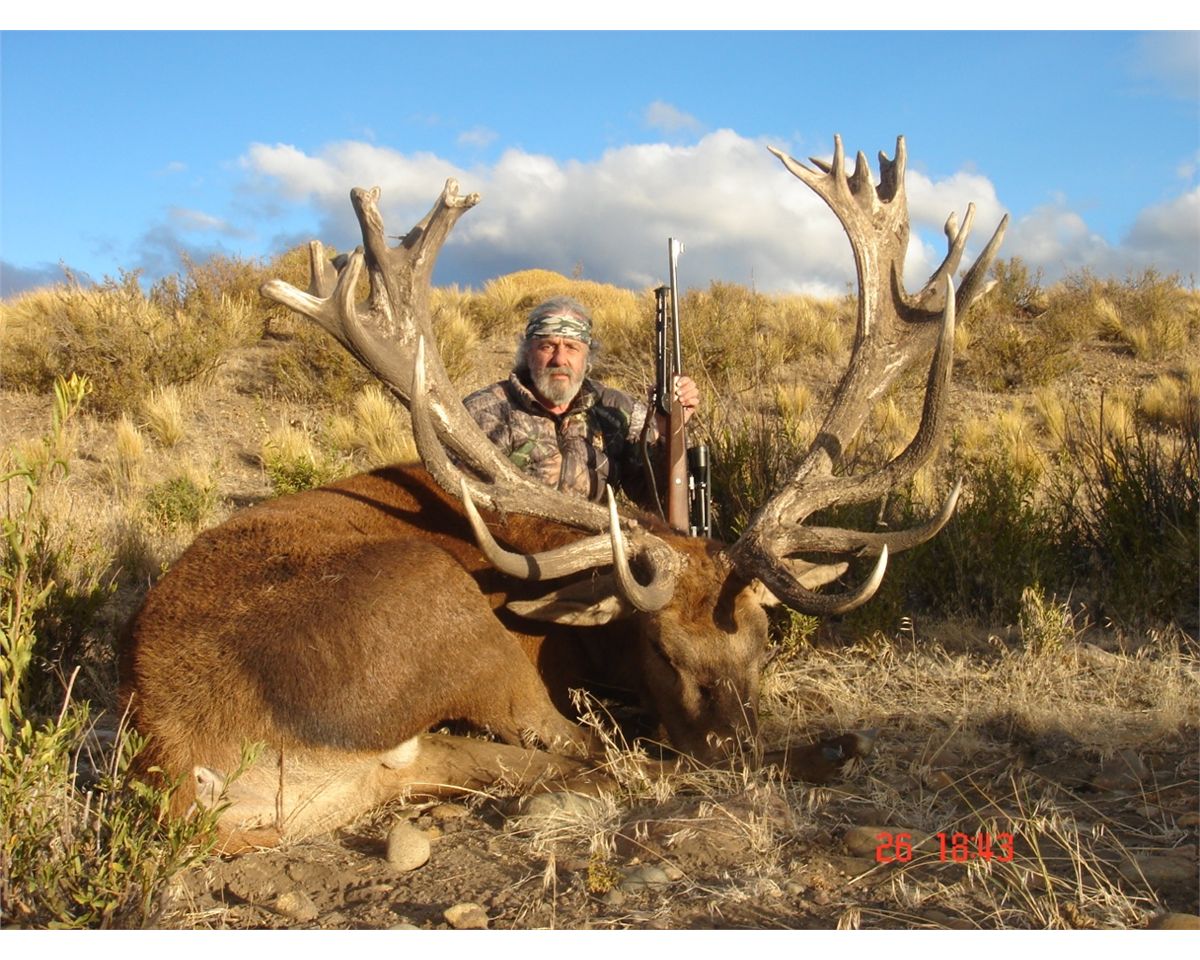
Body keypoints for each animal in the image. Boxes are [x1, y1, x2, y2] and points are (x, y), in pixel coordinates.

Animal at [119, 136, 1006, 852]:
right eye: (661, 649)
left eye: (764, 641)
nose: (733, 751)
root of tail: (192, 776)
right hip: (441, 609)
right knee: (591, 753)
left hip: (398, 752)